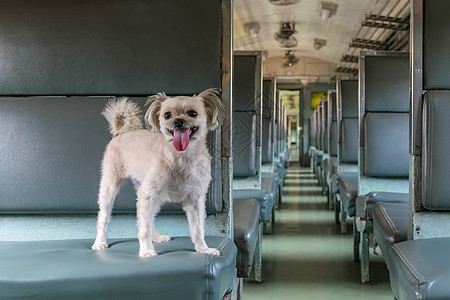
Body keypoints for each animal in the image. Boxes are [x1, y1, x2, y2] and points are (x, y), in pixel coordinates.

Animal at [92, 88, 225, 256]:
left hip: (149, 194)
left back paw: (156, 237)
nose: (178, 121)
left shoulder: (195, 198)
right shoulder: (148, 194)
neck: (181, 157)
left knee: (146, 219)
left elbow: (198, 228)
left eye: (192, 113)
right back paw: (99, 242)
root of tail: (122, 132)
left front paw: (203, 249)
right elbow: (145, 228)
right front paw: (146, 251)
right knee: (104, 217)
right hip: (111, 187)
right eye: (167, 115)